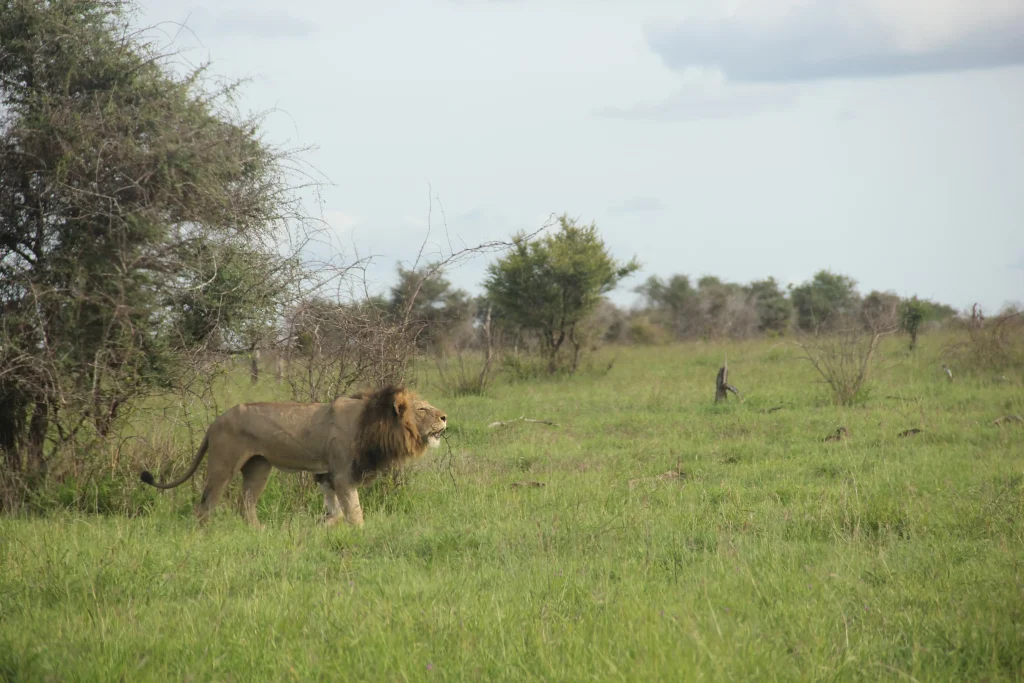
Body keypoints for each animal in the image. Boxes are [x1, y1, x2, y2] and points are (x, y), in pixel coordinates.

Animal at [139, 385, 446, 528]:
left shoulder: (327, 475)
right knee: (205, 505)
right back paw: (207, 534)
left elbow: (335, 511)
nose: (444, 417)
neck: (373, 424)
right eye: (422, 409)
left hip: (258, 467)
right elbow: (354, 512)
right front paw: (360, 532)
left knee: (245, 504)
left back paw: (260, 532)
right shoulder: (343, 474)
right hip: (223, 465)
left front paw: (322, 526)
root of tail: (215, 422)